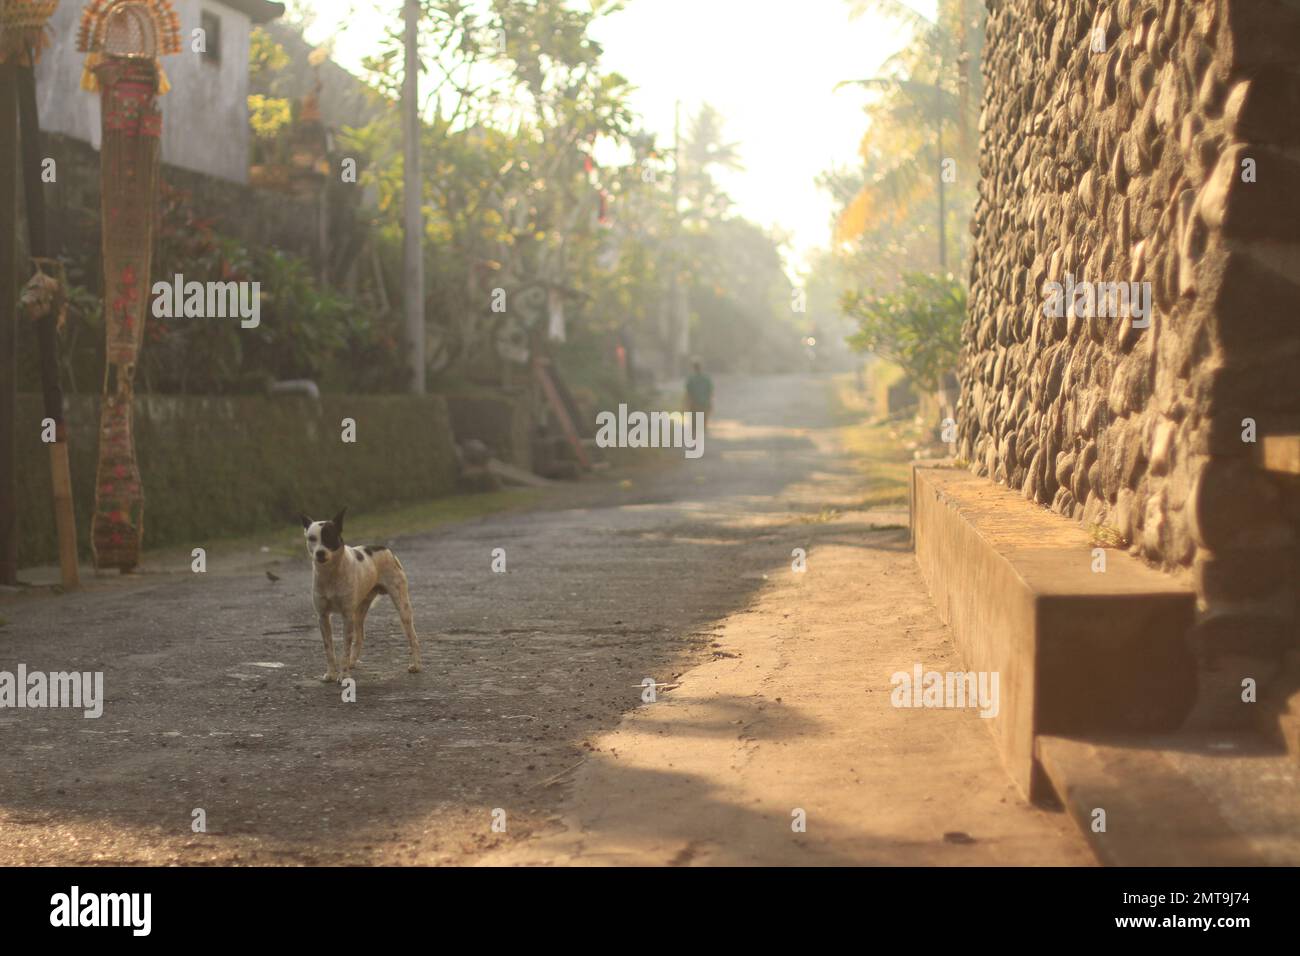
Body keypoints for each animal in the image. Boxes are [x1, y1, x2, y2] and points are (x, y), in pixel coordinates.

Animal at [299, 509, 421, 681]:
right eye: (312, 538)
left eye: (329, 536)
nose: (320, 553)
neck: (331, 574)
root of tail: (386, 549)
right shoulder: (323, 617)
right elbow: (329, 649)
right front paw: (331, 673)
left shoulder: (346, 616)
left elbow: (345, 648)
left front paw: (344, 675)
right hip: (359, 611)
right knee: (360, 636)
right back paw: (352, 662)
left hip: (402, 607)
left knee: (413, 637)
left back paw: (416, 665)